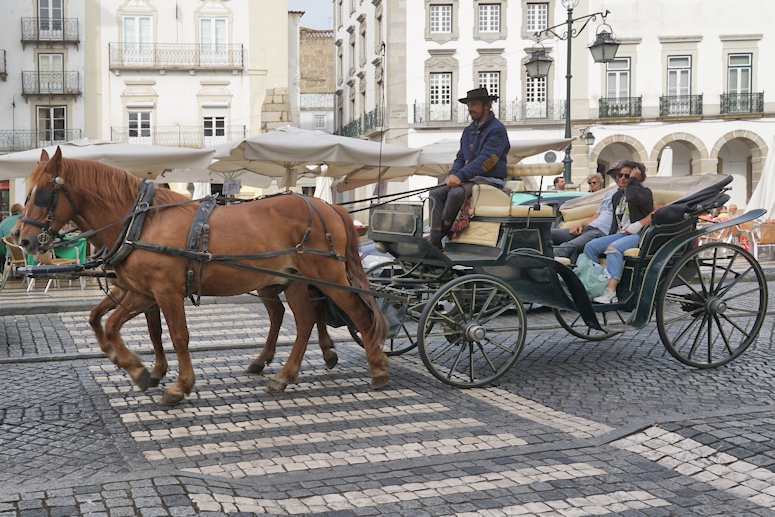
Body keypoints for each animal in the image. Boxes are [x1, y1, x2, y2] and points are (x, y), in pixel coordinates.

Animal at [19, 147, 388, 406]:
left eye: (43, 193)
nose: (22, 239)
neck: (142, 222)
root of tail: (329, 207)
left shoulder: (164, 292)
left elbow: (177, 336)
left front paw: (178, 384)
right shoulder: (141, 291)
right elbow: (105, 322)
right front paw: (136, 368)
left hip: (326, 274)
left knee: (358, 313)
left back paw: (378, 368)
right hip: (292, 280)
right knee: (303, 319)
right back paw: (284, 374)